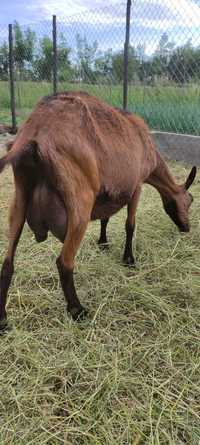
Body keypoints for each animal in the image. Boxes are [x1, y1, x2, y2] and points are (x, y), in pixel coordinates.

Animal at [0, 91, 196, 326]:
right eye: (190, 200)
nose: (186, 228)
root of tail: (35, 133)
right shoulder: (137, 185)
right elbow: (130, 224)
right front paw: (129, 259)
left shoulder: (108, 193)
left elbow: (106, 218)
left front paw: (103, 242)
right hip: (80, 201)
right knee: (64, 262)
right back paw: (77, 310)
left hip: (19, 199)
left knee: (7, 262)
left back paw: (2, 319)